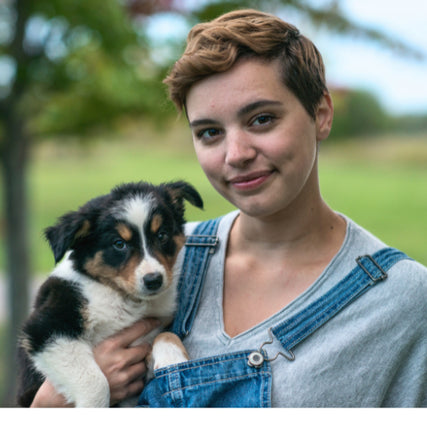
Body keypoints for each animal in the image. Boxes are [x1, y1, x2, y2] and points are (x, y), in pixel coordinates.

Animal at [16, 181, 202, 408]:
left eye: (162, 235)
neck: (121, 296)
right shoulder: (46, 328)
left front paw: (173, 360)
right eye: (119, 244)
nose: (153, 281)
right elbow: (96, 382)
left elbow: (167, 334)